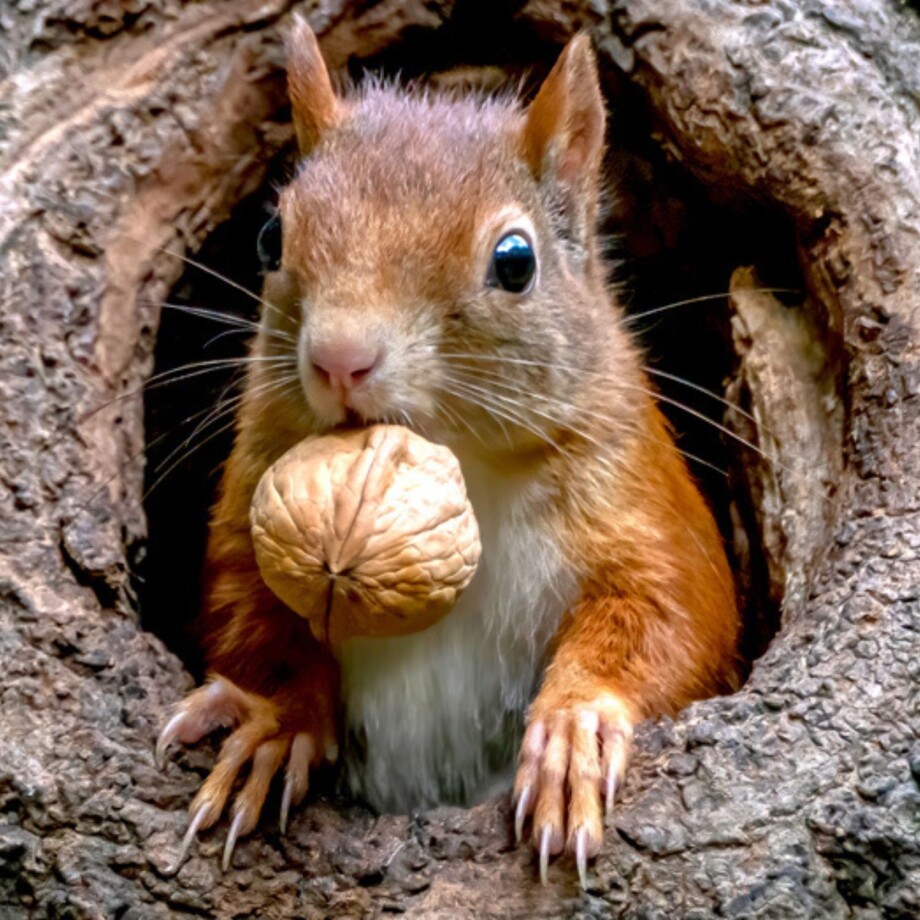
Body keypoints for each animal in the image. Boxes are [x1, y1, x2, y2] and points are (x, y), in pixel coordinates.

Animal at [155, 19, 736, 884]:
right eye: (270, 236)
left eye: (516, 262)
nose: (340, 358)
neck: (462, 460)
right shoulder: (253, 486)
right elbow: (247, 611)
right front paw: (272, 724)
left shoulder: (640, 498)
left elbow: (676, 614)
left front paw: (574, 729)